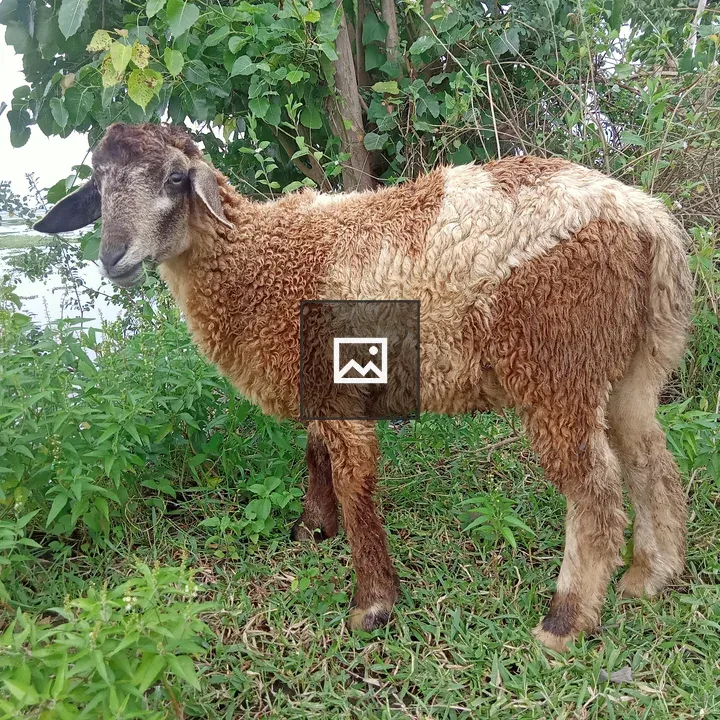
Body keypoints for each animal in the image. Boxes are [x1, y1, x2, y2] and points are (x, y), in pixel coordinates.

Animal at [35, 122, 693, 652]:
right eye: (98, 186)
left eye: (175, 178)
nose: (114, 257)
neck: (259, 261)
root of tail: (647, 218)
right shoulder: (320, 382)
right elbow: (315, 453)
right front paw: (312, 529)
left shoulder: (338, 382)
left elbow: (355, 481)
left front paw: (372, 604)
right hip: (635, 360)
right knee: (650, 459)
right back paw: (650, 577)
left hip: (557, 359)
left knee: (595, 489)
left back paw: (565, 621)